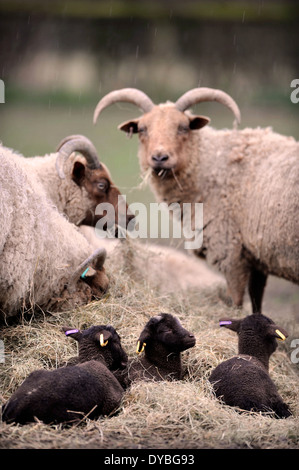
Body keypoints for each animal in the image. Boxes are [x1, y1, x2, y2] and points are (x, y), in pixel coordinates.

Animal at [94, 88, 299, 316]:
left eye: (183, 127)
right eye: (142, 129)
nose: (159, 158)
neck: (210, 167)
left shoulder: (231, 253)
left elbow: (236, 302)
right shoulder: (256, 257)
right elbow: (256, 302)